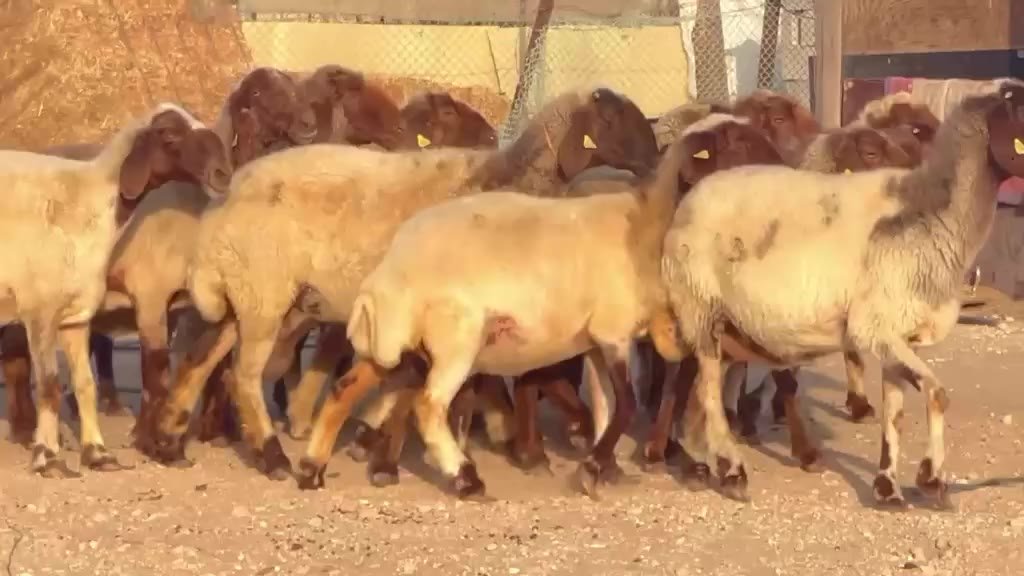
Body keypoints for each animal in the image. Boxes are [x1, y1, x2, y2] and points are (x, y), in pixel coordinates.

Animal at [0, 103, 231, 476]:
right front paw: (48, 458)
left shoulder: (75, 315)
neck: (89, 204)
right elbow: (49, 386)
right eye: (169, 133)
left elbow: (85, 384)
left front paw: (98, 454)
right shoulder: (41, 312)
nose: (223, 173)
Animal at [139, 87, 658, 482]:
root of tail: (218, 209)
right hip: (264, 294)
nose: (655, 162)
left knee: (200, 361)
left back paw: (169, 441)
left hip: (249, 295)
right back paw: (271, 455)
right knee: (243, 375)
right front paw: (405, 456)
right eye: (611, 119)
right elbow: (446, 389)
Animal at [657, 79, 1024, 507]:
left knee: (698, 390)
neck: (930, 215)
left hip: (727, 324)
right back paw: (731, 472)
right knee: (709, 390)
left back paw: (704, 457)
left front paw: (888, 487)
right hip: (699, 309)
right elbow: (936, 393)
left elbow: (895, 413)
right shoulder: (873, 326)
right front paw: (931, 479)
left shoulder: (897, 334)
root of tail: (690, 198)